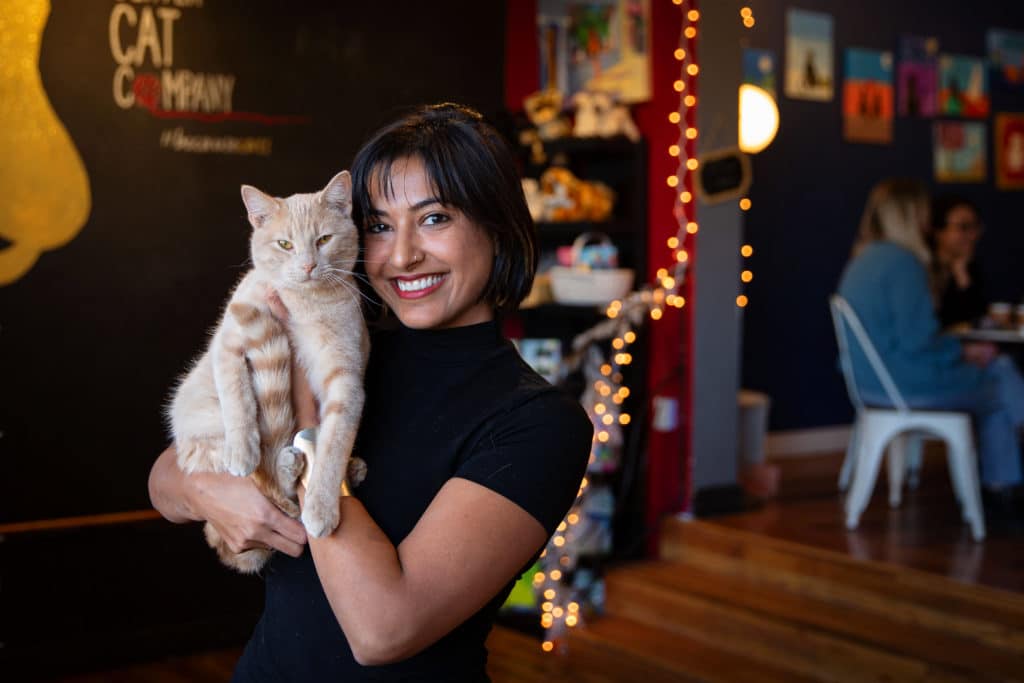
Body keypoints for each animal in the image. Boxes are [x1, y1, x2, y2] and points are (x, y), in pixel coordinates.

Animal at [167, 171, 372, 573]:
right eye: (285, 244)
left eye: (323, 240)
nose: (308, 266)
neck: (306, 303)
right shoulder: (229, 342)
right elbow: (238, 399)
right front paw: (242, 449)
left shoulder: (346, 381)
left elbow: (334, 446)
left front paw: (322, 506)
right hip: (207, 426)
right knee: (266, 483)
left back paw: (336, 470)